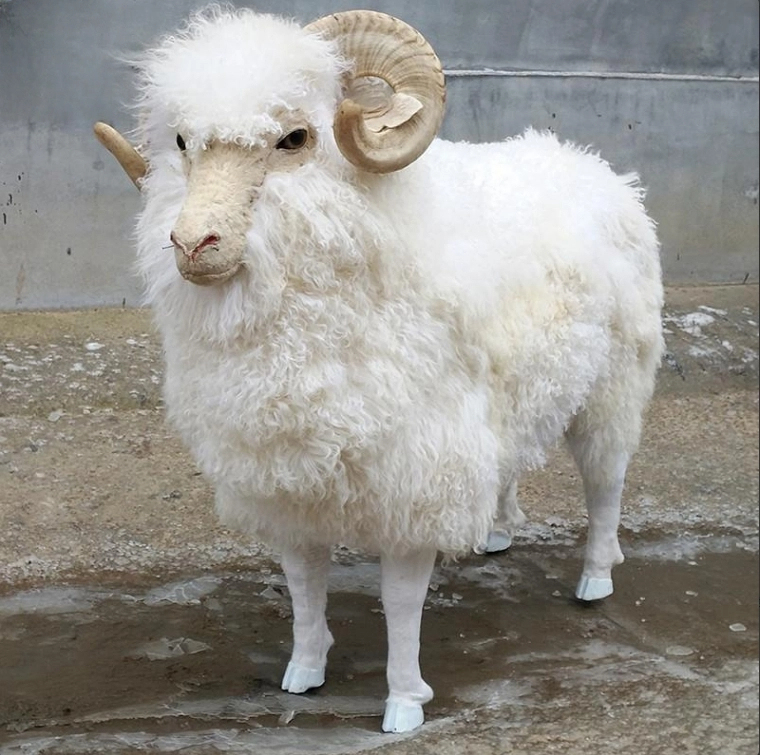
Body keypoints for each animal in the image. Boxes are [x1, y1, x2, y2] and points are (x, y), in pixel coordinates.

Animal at [94, 6, 664, 734]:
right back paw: (497, 530)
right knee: (513, 465)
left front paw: (403, 702)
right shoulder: (291, 477)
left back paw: (595, 578)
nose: (193, 245)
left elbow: (400, 602)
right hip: (515, 402)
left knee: (605, 485)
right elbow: (304, 584)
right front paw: (304, 670)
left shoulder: (416, 475)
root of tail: (596, 168)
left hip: (612, 389)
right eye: (183, 142)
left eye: (294, 138)